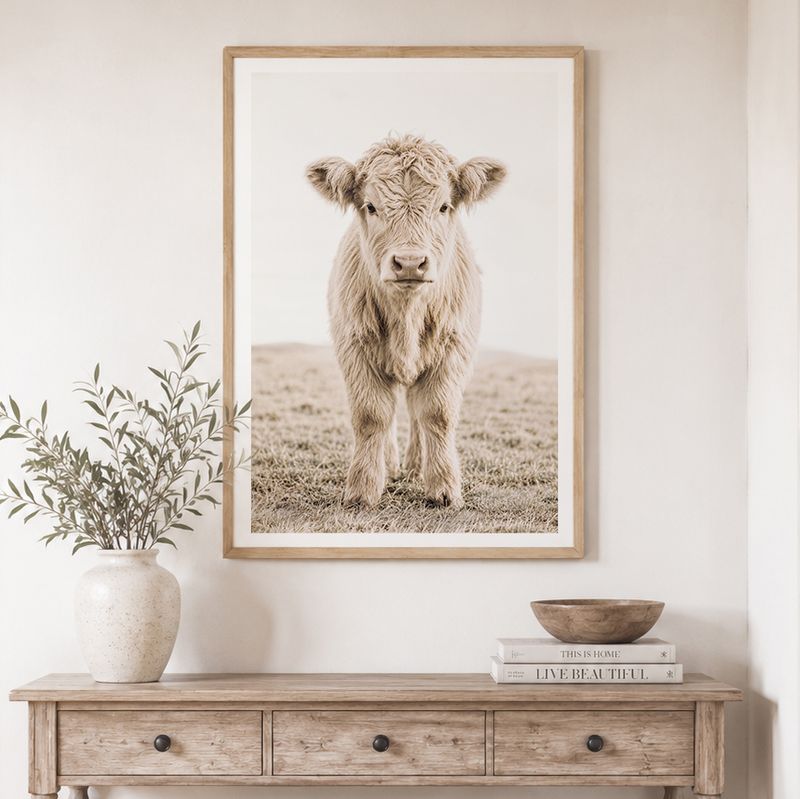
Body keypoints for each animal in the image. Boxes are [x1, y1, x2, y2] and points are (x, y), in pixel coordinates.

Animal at [306, 134, 506, 509]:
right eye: (371, 206)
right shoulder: (355, 347)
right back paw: (391, 463)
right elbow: (372, 415)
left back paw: (416, 466)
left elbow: (436, 414)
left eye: (443, 207)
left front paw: (443, 488)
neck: (407, 317)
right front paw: (363, 489)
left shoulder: (453, 348)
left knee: (415, 410)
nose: (410, 263)